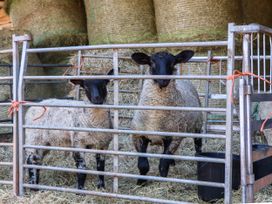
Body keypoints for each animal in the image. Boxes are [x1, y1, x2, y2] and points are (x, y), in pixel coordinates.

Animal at [131, 50, 203, 185]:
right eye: (152, 62)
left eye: (173, 63)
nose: (163, 80)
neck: (156, 117)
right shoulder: (139, 135)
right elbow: (143, 164)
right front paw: (140, 182)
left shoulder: (173, 138)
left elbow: (163, 164)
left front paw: (163, 180)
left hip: (198, 124)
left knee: (198, 144)